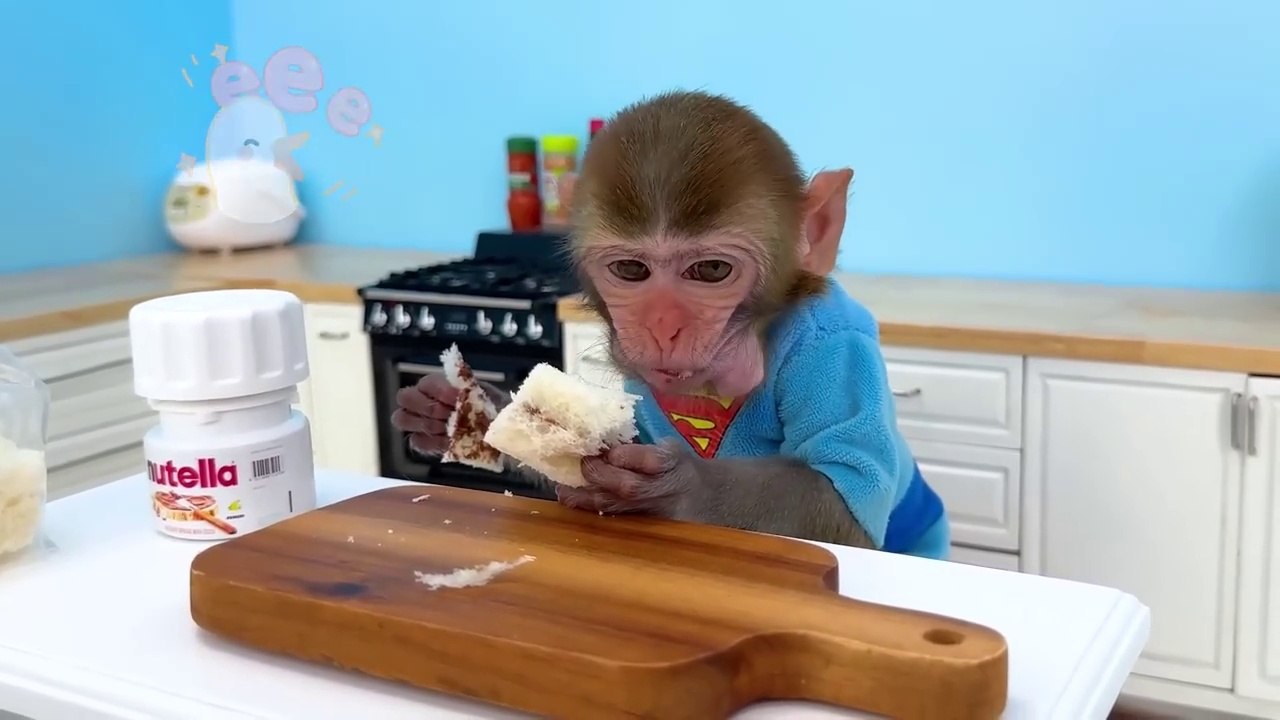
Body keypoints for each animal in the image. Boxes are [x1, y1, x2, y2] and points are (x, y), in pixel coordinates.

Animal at [392, 90, 949, 559]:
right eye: (630, 270)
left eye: (711, 271)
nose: (662, 327)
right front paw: (452, 408)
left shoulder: (834, 348)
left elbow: (841, 497)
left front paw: (677, 486)